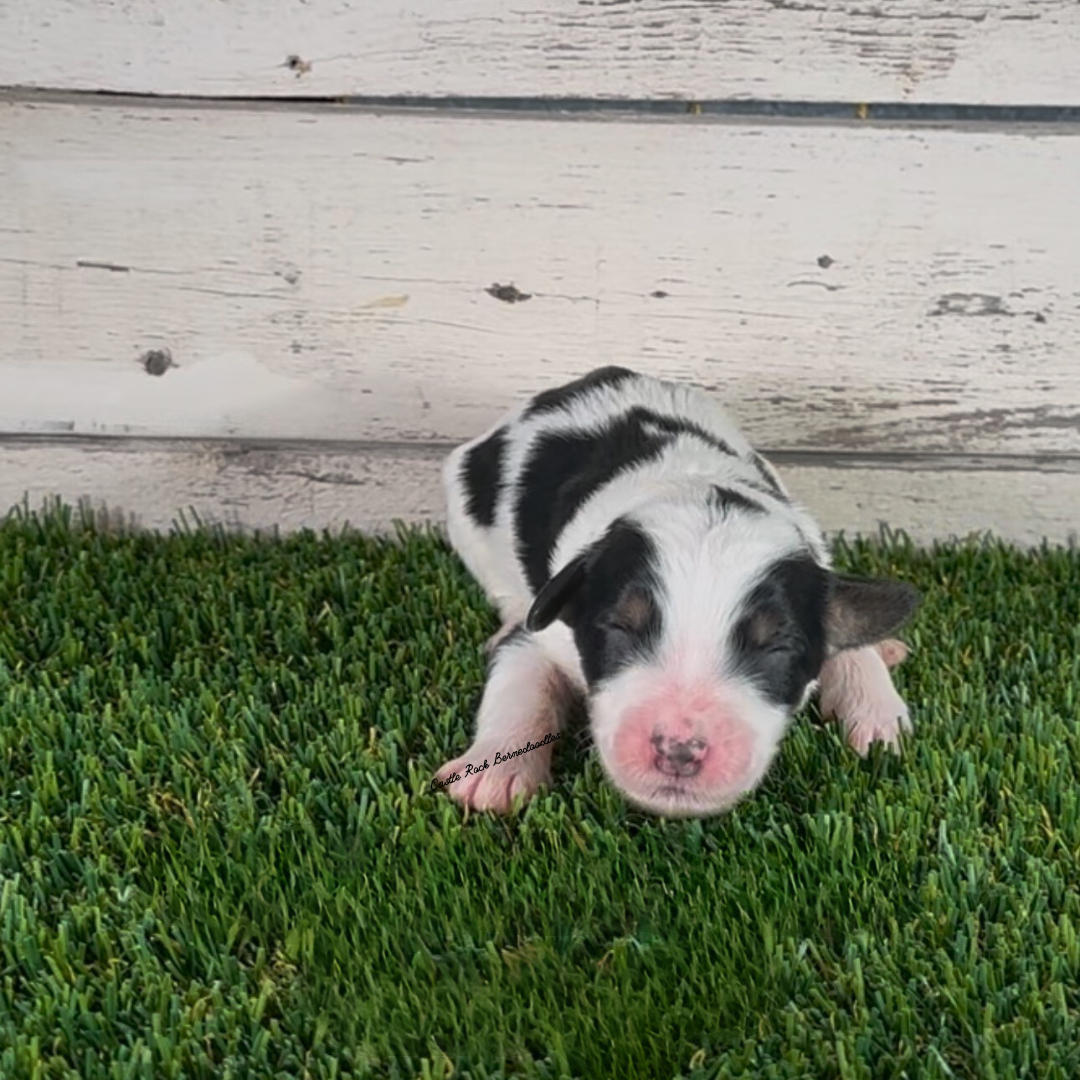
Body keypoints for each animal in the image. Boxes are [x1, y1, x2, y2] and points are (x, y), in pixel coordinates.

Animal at [436, 371, 920, 816]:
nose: (679, 752)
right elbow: (519, 683)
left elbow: (849, 638)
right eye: (620, 627)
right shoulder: (547, 625)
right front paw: (494, 774)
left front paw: (880, 719)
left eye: (776, 647)